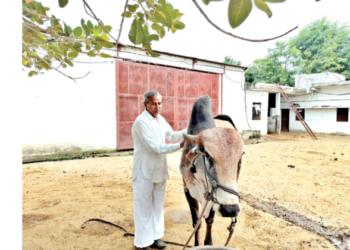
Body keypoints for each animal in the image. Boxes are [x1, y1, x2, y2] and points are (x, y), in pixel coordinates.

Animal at [179, 95, 245, 246]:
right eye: (208, 156)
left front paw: (208, 243)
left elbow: (209, 220)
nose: (230, 209)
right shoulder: (187, 190)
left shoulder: (214, 199)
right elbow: (196, 222)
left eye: (240, 158)